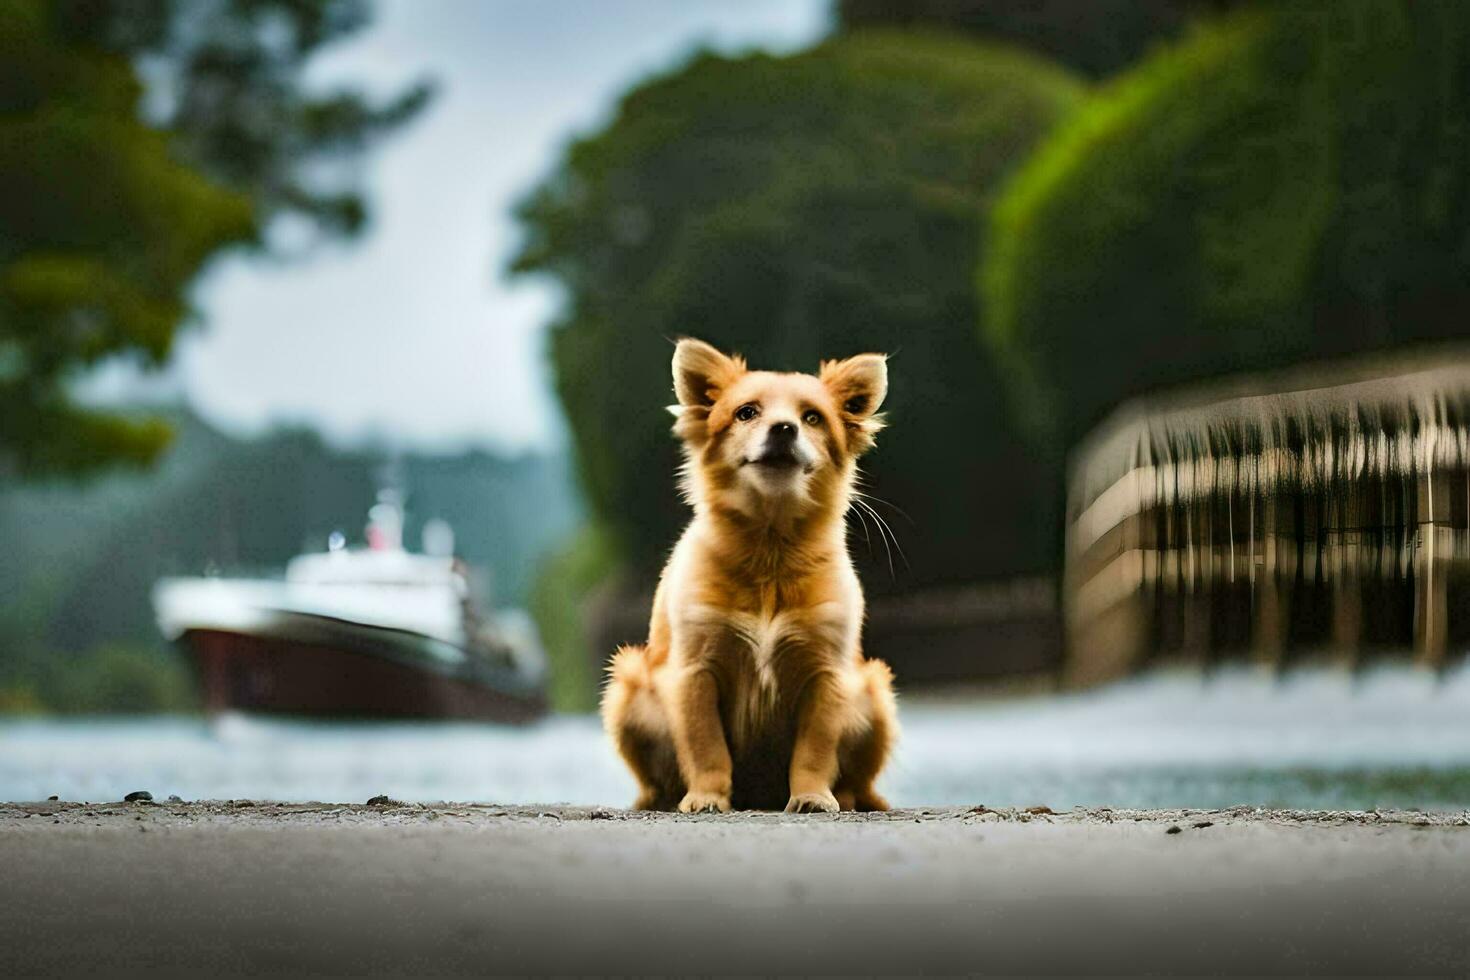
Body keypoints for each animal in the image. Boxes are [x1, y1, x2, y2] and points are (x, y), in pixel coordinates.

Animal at [596, 340, 893, 816]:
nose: (784, 429)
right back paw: (660, 798)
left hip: (875, 692)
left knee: (858, 780)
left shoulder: (828, 677)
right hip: (628, 685)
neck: (770, 552)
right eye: (746, 413)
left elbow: (814, 750)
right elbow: (706, 746)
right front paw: (707, 797)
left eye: (813, 418)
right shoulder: (696, 673)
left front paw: (811, 796)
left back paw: (852, 799)